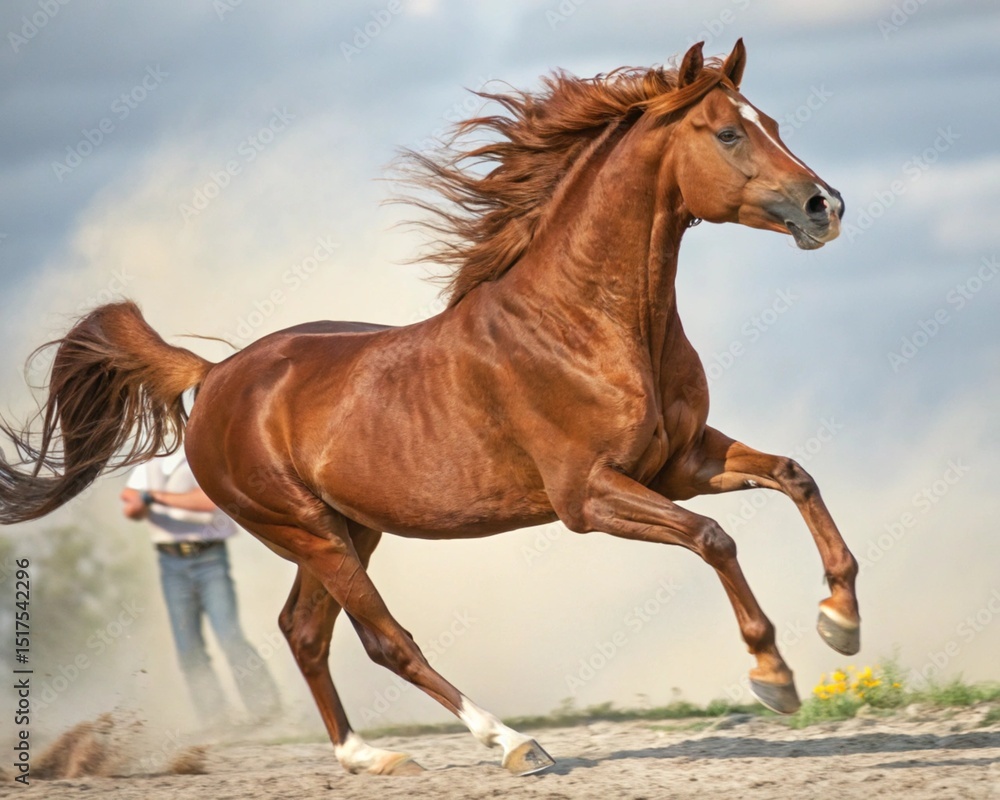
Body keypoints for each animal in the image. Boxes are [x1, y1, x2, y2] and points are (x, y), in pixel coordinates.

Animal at [0, 40, 859, 776]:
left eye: (771, 123)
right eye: (728, 133)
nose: (826, 206)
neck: (588, 322)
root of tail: (213, 377)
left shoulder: (679, 462)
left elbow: (794, 475)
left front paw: (840, 619)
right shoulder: (588, 496)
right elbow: (713, 538)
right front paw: (774, 674)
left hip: (349, 529)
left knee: (303, 632)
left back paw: (367, 757)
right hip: (309, 531)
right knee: (384, 640)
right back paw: (513, 744)